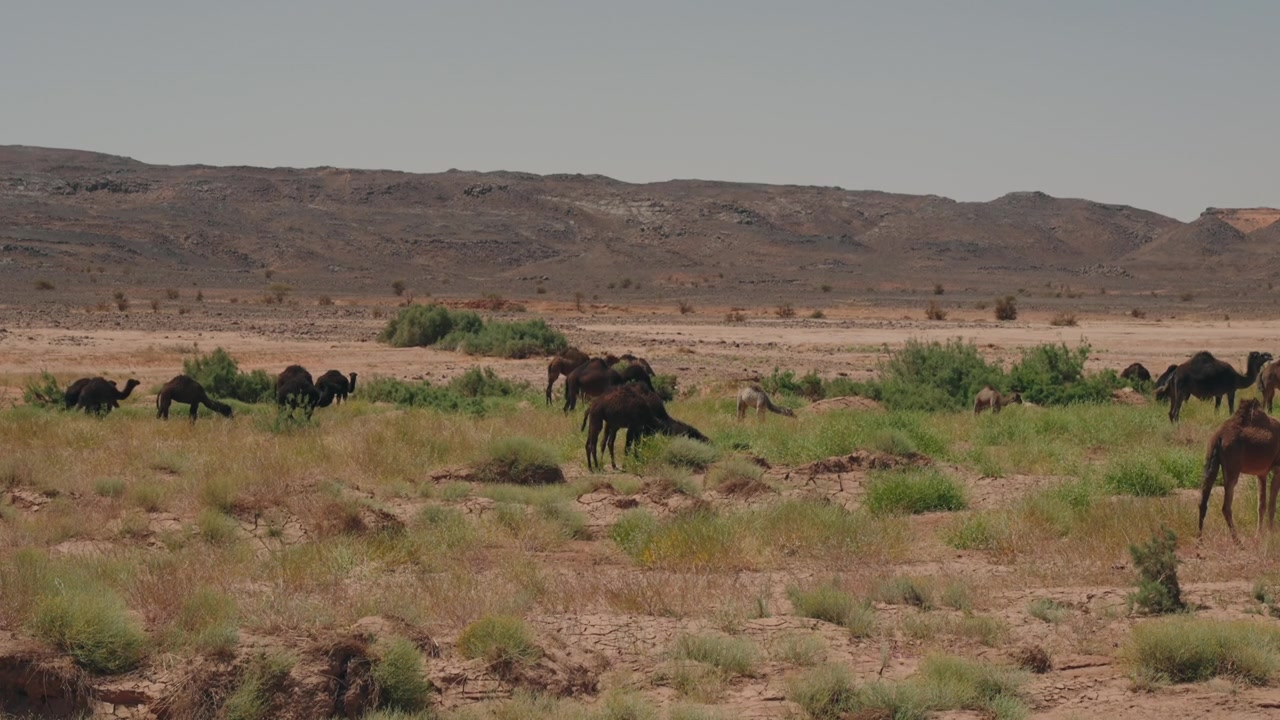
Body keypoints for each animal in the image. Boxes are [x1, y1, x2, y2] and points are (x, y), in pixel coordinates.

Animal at [1198, 399, 1280, 541]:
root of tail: (1219, 436)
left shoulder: (1261, 473)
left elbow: (1261, 505)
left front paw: (1259, 535)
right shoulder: (1277, 468)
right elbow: (1271, 504)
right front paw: (1270, 535)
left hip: (1210, 459)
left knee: (1203, 502)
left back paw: (1199, 540)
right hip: (1232, 468)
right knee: (1226, 507)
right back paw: (1238, 541)